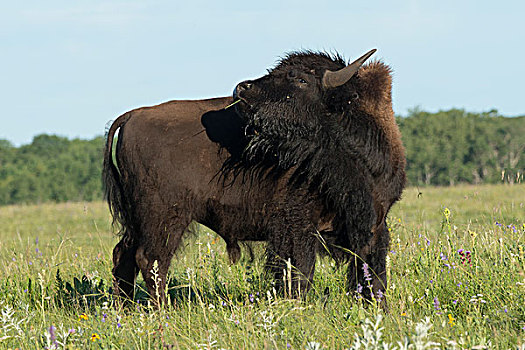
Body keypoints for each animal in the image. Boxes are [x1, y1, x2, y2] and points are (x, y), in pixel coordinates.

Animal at [102, 47, 406, 304]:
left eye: (301, 79)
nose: (242, 88)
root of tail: (131, 116)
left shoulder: (373, 225)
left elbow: (373, 274)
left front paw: (378, 308)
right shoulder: (298, 226)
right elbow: (300, 273)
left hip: (140, 219)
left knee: (125, 255)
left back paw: (125, 308)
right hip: (164, 217)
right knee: (151, 260)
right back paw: (162, 310)